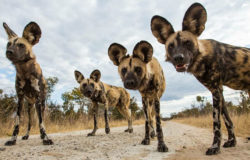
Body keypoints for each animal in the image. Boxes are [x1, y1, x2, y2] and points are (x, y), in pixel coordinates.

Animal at [150, 2, 250, 155]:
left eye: (187, 43)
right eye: (171, 46)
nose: (178, 58)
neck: (202, 58)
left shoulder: (215, 90)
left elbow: (216, 123)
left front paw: (215, 147)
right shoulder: (219, 91)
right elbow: (228, 120)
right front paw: (231, 142)